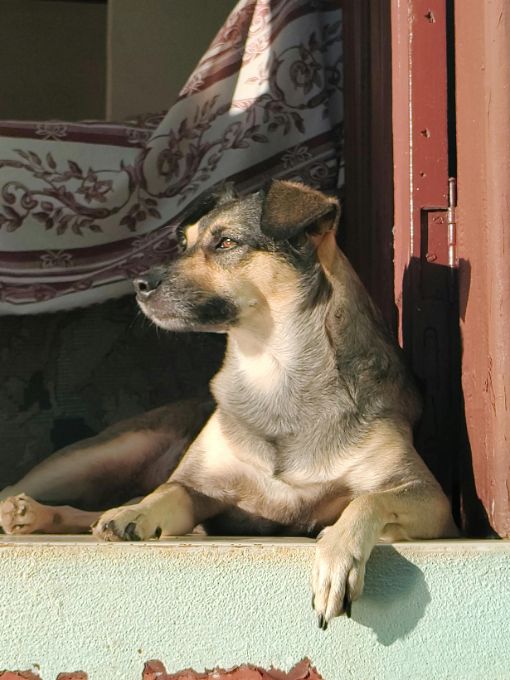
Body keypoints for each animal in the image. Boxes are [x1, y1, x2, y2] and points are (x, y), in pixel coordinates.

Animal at [0, 181, 456, 628]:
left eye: (227, 242)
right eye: (184, 243)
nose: (139, 284)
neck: (274, 370)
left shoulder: (433, 501)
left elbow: (367, 500)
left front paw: (337, 557)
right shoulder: (199, 490)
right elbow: (168, 491)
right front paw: (138, 514)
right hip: (102, 452)